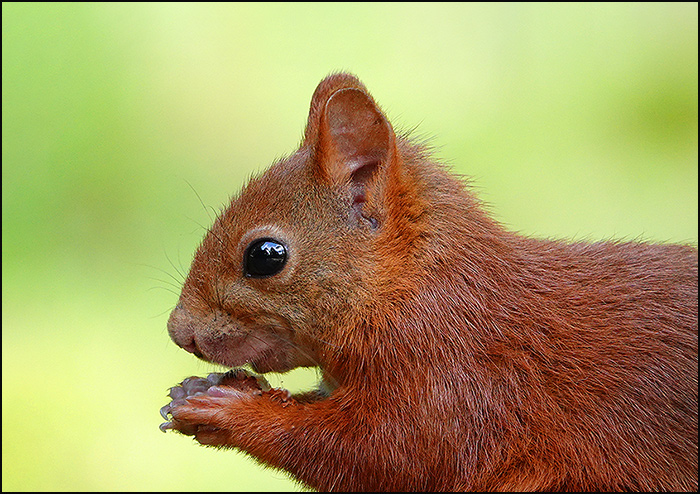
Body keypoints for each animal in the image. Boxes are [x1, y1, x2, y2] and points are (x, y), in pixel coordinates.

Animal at [161, 72, 698, 491]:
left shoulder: (454, 378)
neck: (411, 289)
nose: (178, 331)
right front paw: (199, 390)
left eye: (265, 257)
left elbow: (385, 453)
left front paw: (229, 411)